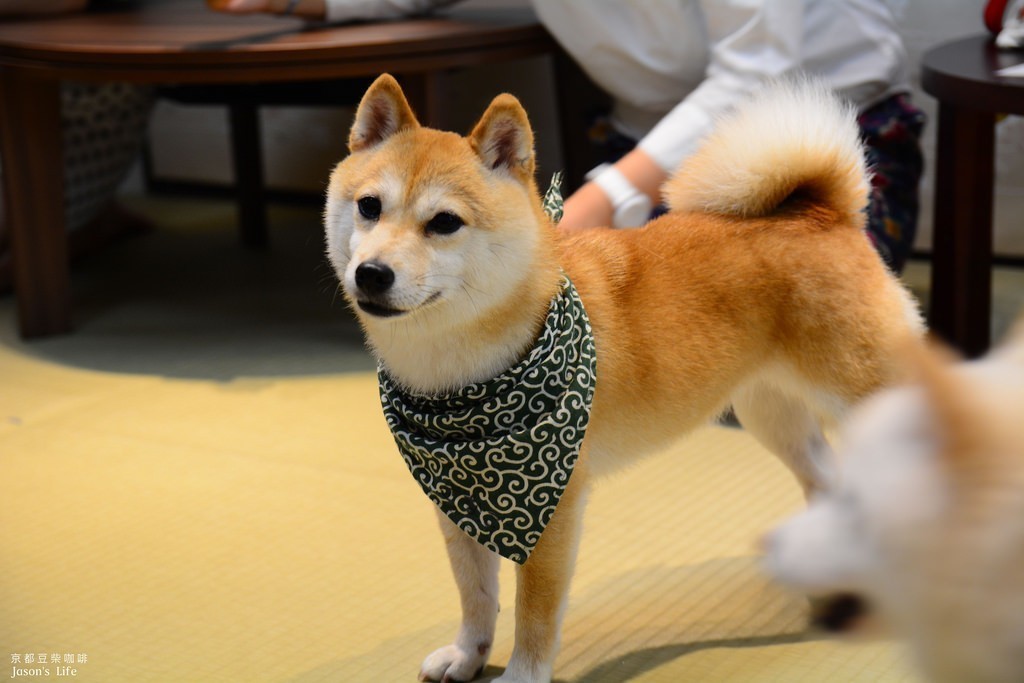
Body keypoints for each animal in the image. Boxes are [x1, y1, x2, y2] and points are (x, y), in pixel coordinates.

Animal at [323, 74, 925, 683]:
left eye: (444, 222)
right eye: (370, 206)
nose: (371, 273)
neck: (455, 377)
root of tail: (822, 210)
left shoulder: (554, 507)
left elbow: (534, 612)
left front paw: (521, 674)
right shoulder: (455, 498)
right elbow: (476, 594)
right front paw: (467, 654)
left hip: (865, 394)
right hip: (771, 414)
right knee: (829, 481)